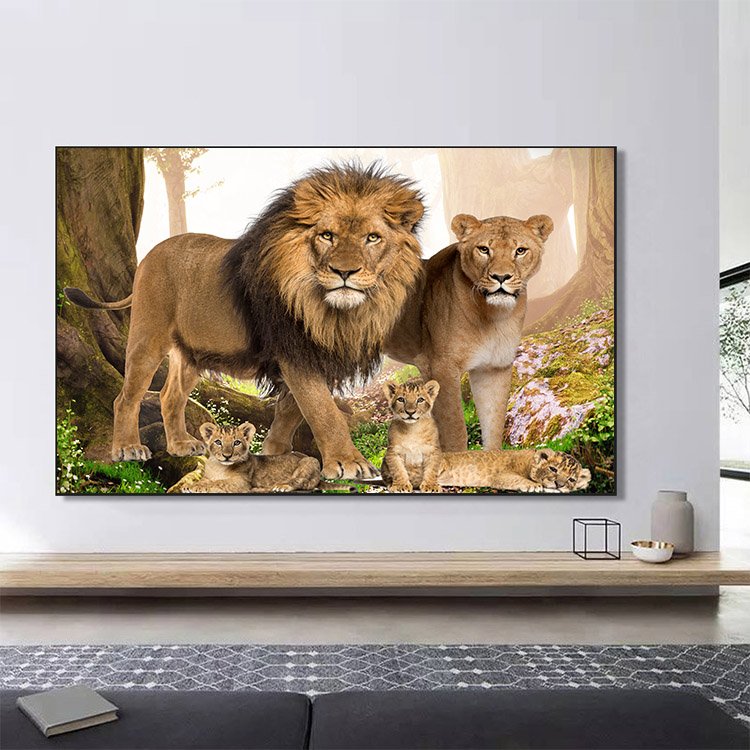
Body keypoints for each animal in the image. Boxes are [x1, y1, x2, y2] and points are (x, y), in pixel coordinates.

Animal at [64, 163, 425, 479]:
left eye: (372, 238)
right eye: (327, 235)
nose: (344, 272)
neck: (334, 312)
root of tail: (150, 254)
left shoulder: (310, 354)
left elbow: (291, 410)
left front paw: (274, 452)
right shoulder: (294, 352)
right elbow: (323, 411)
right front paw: (350, 464)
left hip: (192, 353)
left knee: (170, 397)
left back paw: (180, 445)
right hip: (147, 337)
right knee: (126, 397)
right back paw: (127, 448)